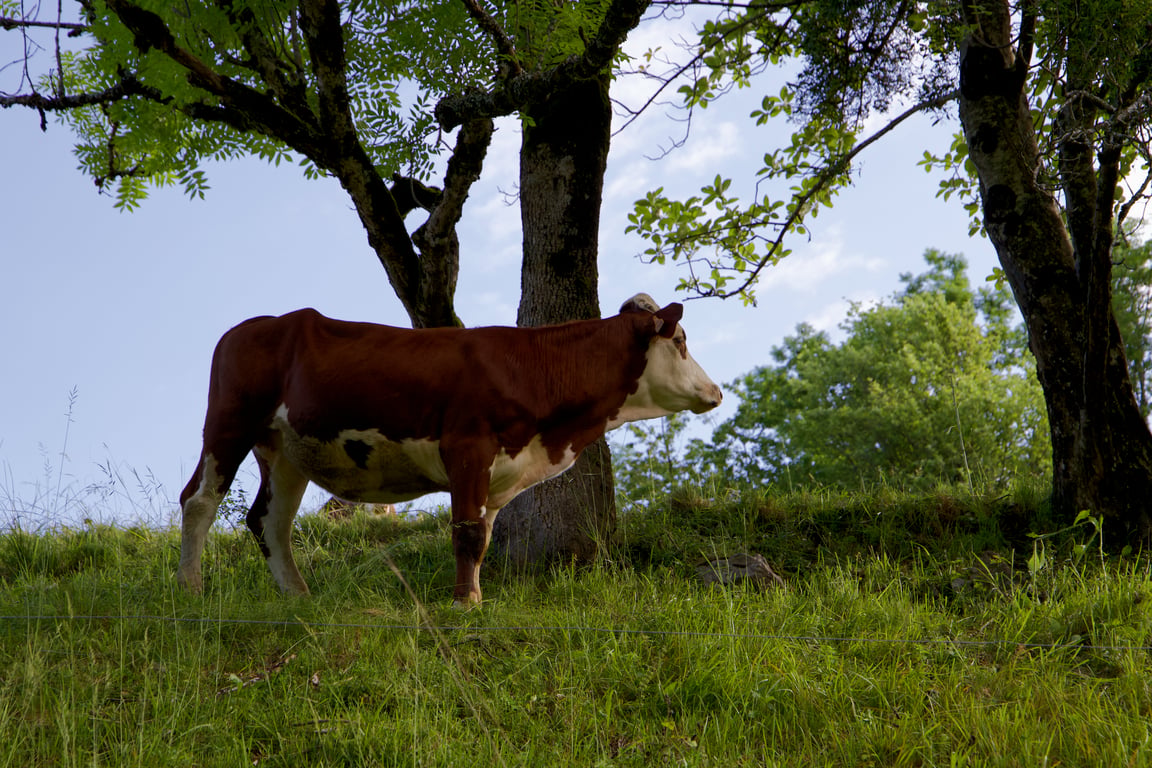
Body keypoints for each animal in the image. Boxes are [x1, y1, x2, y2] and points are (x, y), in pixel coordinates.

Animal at [176, 293, 722, 606]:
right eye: (682, 340)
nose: (715, 391)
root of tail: (254, 325)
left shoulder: (499, 469)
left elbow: (482, 534)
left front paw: (474, 597)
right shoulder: (467, 445)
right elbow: (466, 533)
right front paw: (463, 605)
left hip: (286, 450)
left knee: (268, 520)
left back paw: (298, 598)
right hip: (230, 421)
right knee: (199, 501)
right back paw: (191, 590)